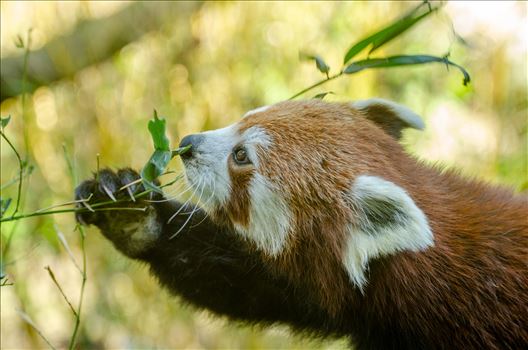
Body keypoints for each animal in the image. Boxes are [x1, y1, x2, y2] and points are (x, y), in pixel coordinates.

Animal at [75, 98, 528, 350]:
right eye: (245, 116)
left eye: (241, 156)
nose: (187, 144)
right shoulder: (341, 296)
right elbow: (249, 281)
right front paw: (131, 211)